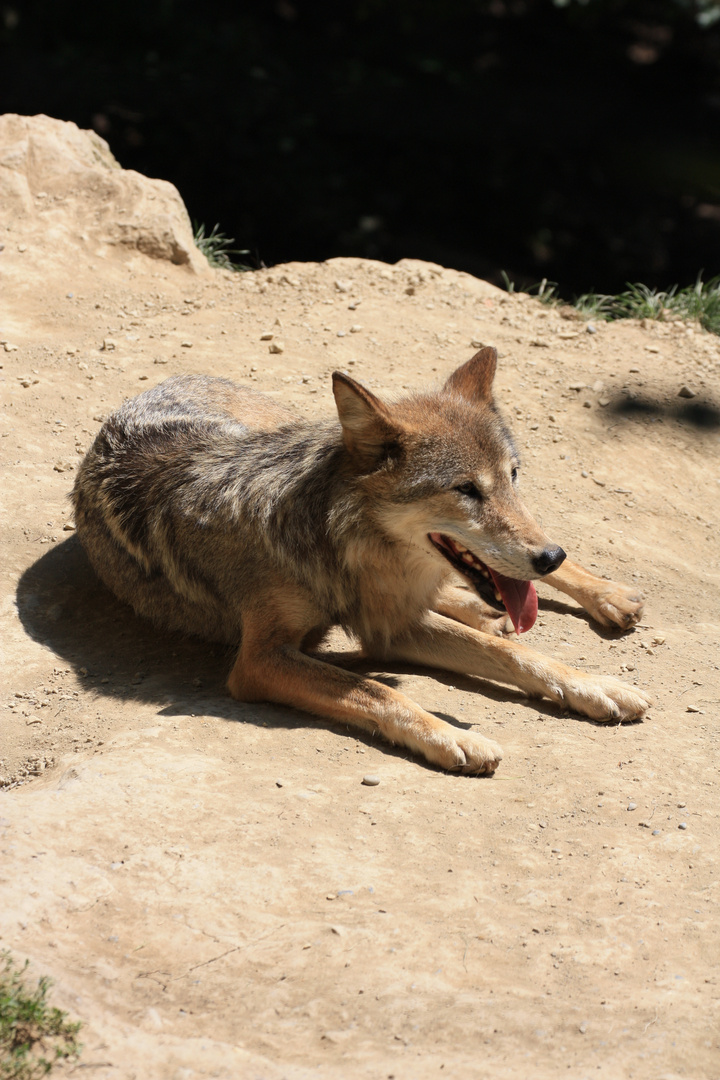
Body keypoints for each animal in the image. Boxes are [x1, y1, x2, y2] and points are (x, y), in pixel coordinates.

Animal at [73, 345, 651, 768]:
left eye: (512, 476)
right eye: (466, 490)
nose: (549, 556)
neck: (339, 546)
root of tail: (173, 378)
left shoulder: (388, 625)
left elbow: (515, 656)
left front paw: (595, 685)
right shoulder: (263, 660)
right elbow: (375, 689)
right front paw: (450, 736)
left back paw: (605, 597)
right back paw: (485, 610)